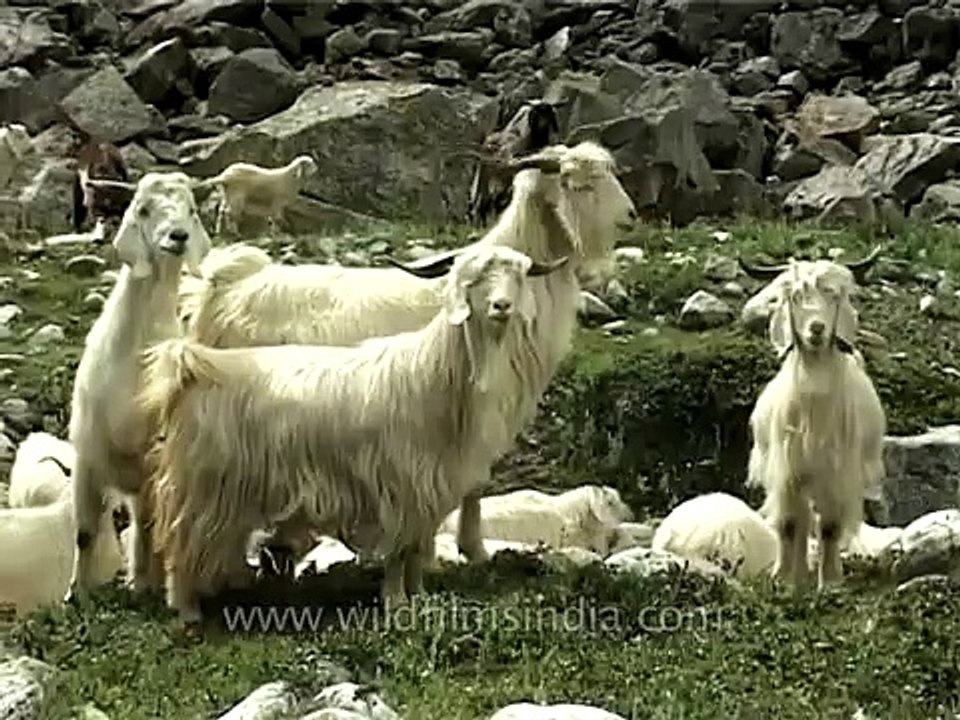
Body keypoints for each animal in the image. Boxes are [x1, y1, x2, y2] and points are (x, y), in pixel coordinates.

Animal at [67, 171, 212, 599]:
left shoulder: (151, 463)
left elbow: (148, 530)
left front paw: (143, 586)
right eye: (144, 209)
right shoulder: (88, 454)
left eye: (191, 210)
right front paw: (75, 594)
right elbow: (84, 532)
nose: (178, 236)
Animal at [138, 244, 570, 624]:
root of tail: (193, 368)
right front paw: (395, 603)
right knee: (181, 541)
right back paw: (187, 609)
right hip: (201, 486)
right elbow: (398, 552)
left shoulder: (428, 490)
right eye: (474, 278)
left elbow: (417, 549)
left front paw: (418, 596)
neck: (432, 372)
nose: (502, 306)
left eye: (518, 275)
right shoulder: (399, 487)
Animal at [742, 248, 886, 588]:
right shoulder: (787, 470)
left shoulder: (837, 473)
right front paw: (784, 579)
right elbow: (789, 523)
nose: (817, 329)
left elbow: (830, 526)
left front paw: (829, 581)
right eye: (796, 297)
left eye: (833, 296)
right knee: (800, 519)